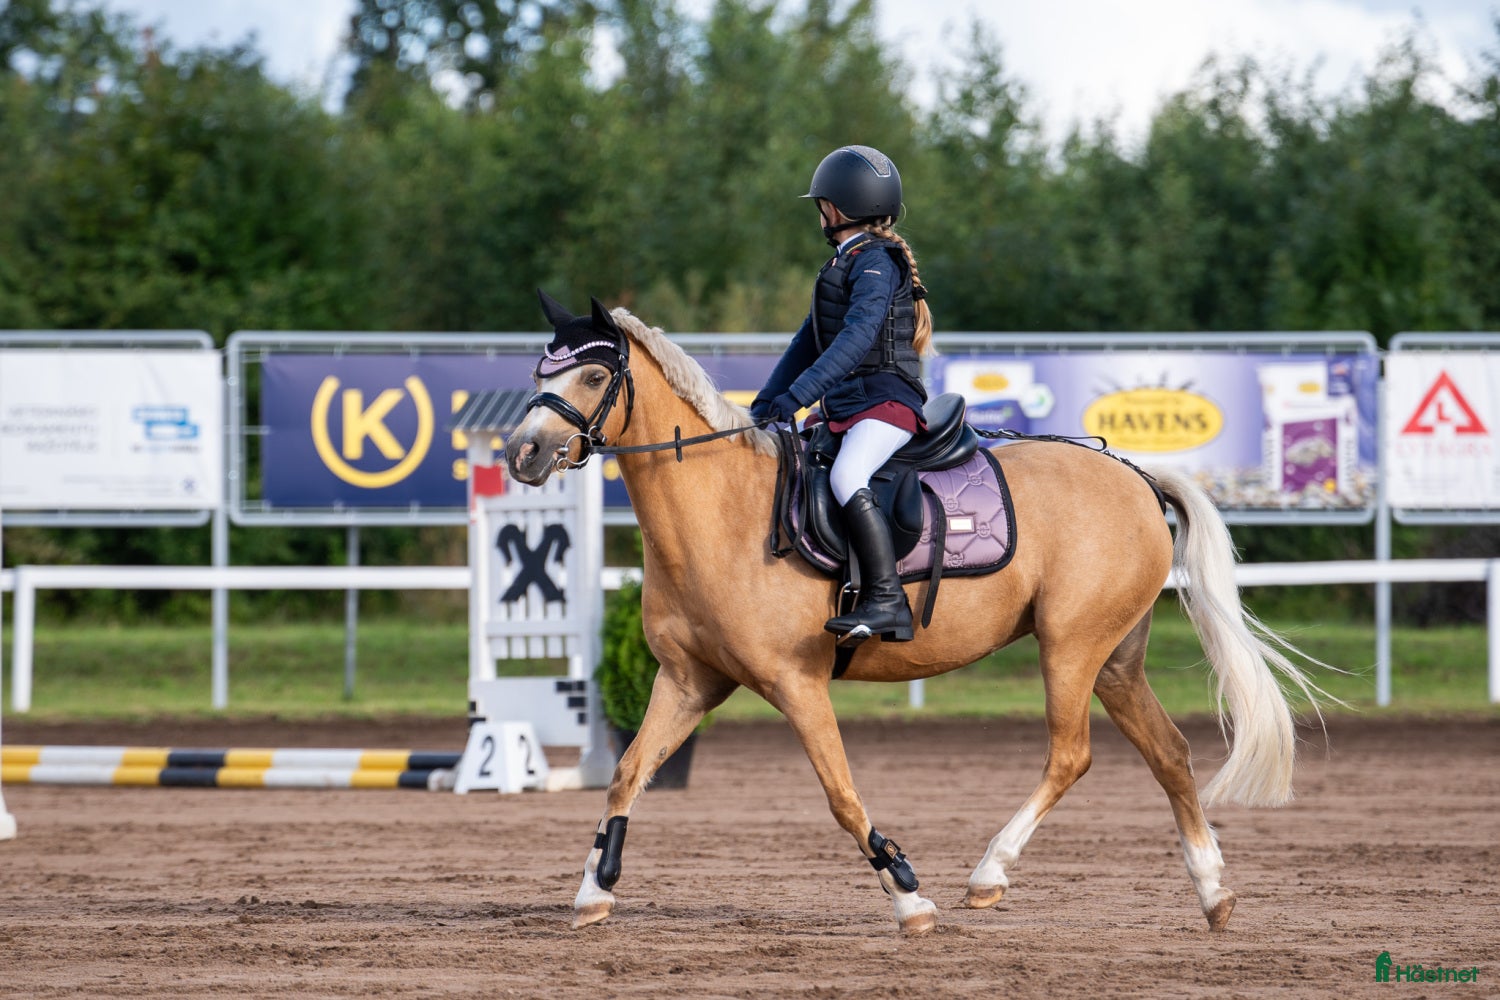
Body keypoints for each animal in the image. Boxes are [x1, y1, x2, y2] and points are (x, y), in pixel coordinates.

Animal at [505, 297, 1324, 936]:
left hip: (1071, 647)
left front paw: (908, 896)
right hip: (1116, 660)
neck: (721, 509)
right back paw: (1214, 893)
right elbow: (626, 774)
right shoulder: (688, 682)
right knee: (1170, 753)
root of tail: (1134, 473)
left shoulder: (796, 684)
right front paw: (593, 890)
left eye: (594, 374)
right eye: (539, 373)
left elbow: (840, 794)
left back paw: (990, 873)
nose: (522, 454)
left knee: (1070, 754)